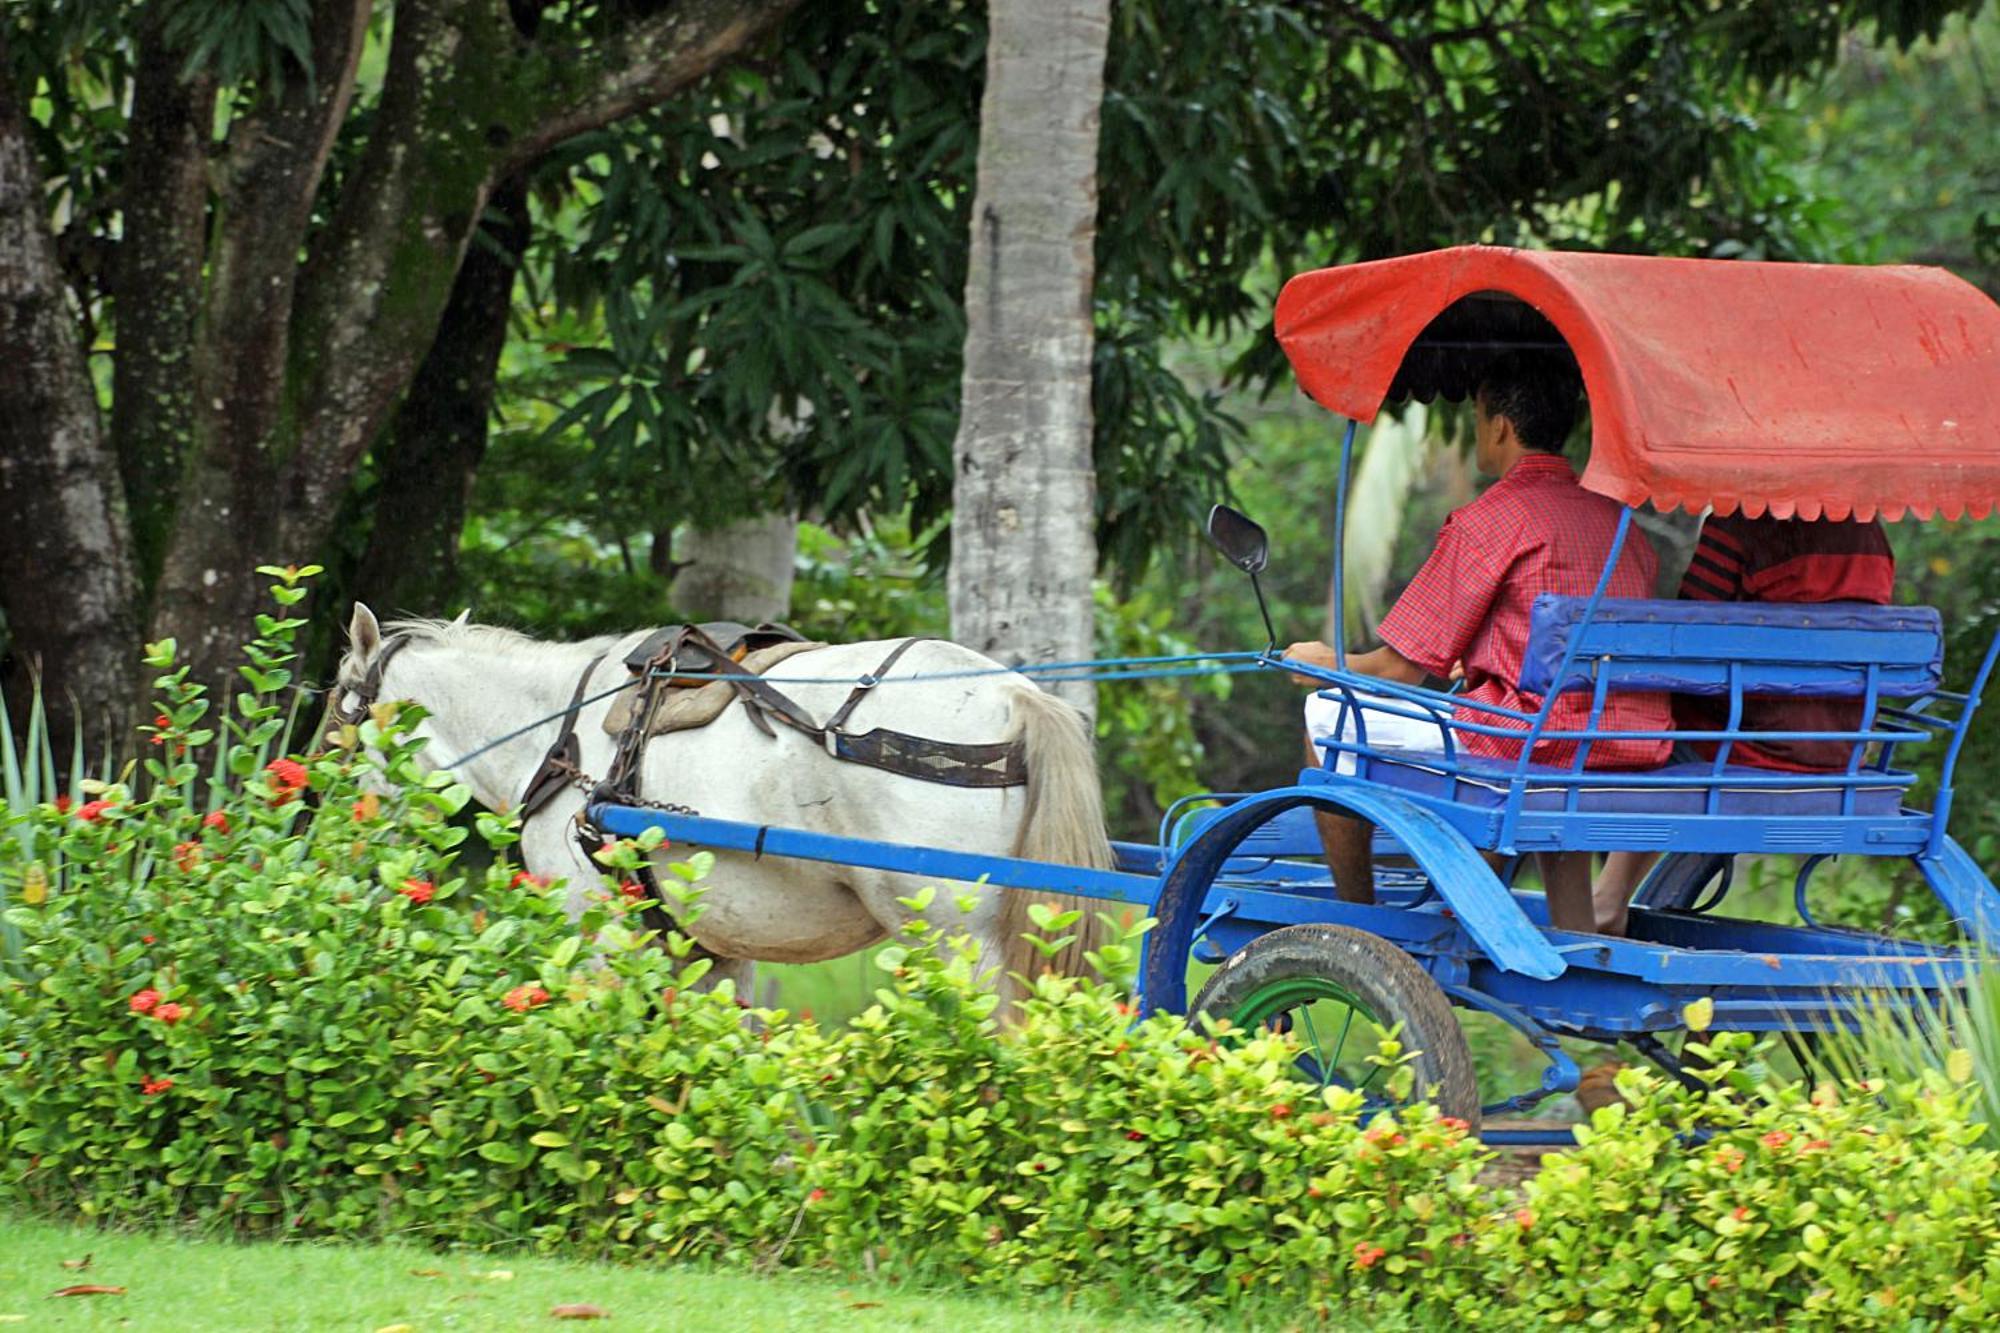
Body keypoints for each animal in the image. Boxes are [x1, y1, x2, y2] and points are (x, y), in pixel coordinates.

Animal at [328, 600, 1112, 996]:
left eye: (341, 715)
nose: (342, 829)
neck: (555, 729)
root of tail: (1017, 698)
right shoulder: (707, 940)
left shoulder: (592, 924)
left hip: (958, 941)